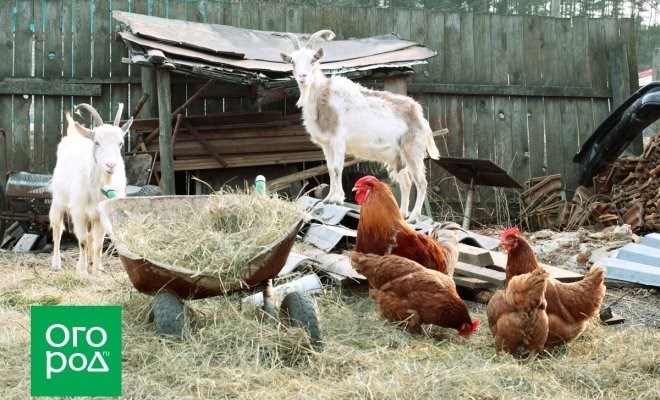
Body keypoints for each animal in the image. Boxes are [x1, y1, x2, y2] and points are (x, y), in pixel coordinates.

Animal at [49, 102, 133, 276]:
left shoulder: (100, 215)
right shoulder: (78, 212)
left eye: (120, 143)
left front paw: (96, 269)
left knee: (91, 238)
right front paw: (82, 270)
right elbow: (82, 241)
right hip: (59, 200)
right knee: (57, 230)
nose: (111, 165)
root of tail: (73, 135)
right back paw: (56, 263)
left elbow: (98, 244)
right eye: (97, 143)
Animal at [278, 29, 438, 223]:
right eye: (293, 62)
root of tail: (419, 115)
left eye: (313, 60)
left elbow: (338, 167)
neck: (325, 97)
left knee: (421, 182)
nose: (302, 76)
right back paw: (401, 215)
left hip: (412, 151)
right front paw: (328, 198)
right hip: (397, 157)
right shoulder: (326, 145)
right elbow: (330, 168)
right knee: (406, 183)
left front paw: (337, 198)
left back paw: (413, 218)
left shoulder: (338, 140)